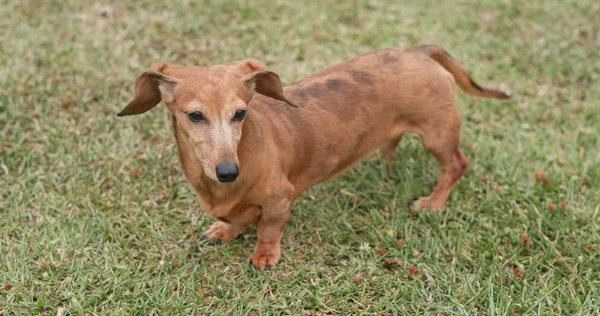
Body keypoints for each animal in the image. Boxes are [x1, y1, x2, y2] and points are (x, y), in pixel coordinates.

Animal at [118, 44, 510, 270]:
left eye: (240, 113)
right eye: (195, 116)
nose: (228, 171)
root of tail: (418, 51)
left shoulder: (280, 200)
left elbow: (268, 229)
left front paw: (264, 256)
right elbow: (232, 220)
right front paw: (224, 230)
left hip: (437, 134)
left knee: (457, 164)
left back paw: (433, 203)